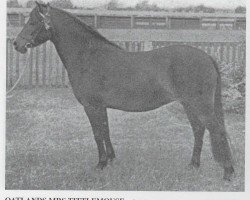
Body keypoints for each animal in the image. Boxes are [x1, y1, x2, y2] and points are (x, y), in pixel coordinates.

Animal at [13, 2, 234, 181]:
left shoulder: (92, 106)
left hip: (200, 105)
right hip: (189, 104)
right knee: (199, 130)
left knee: (217, 131)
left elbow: (97, 134)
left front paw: (100, 164)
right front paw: (111, 160)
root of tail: (207, 57)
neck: (88, 56)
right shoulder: (101, 107)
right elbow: (105, 131)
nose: (17, 44)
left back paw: (228, 173)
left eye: (33, 21)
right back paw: (193, 165)